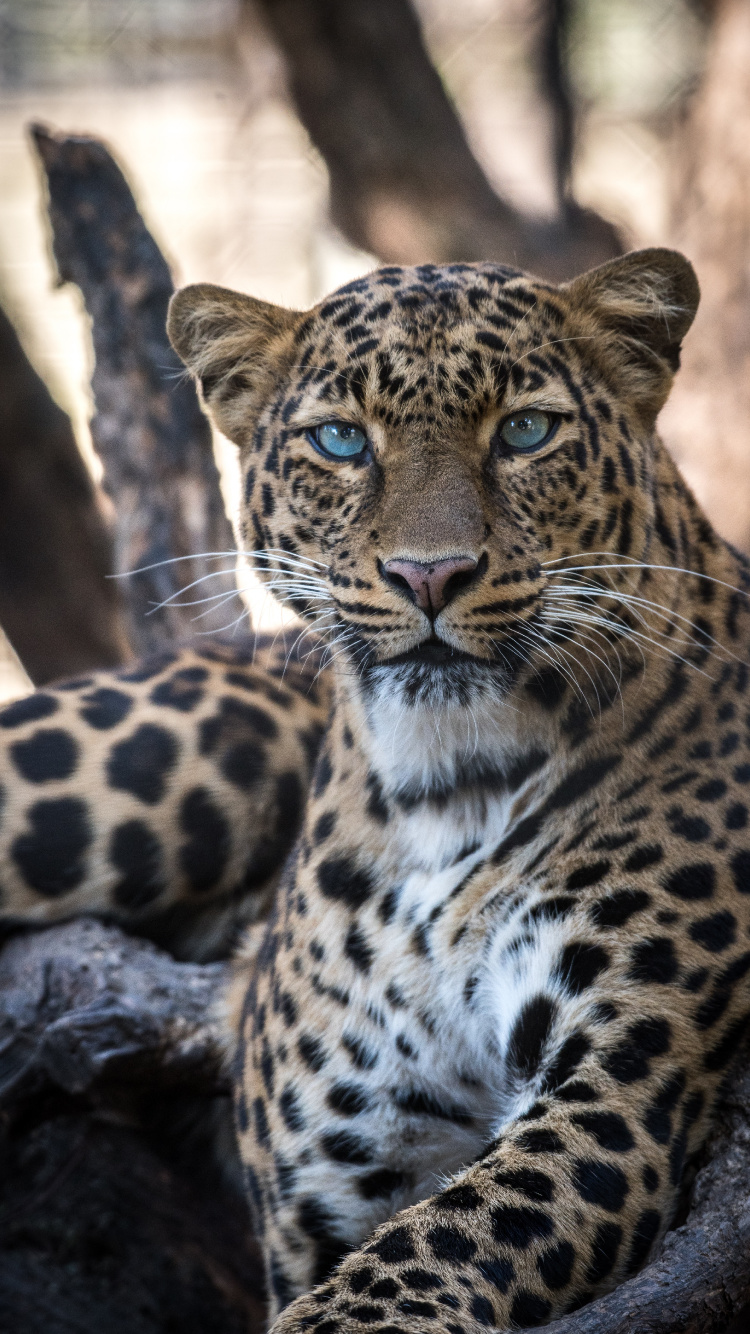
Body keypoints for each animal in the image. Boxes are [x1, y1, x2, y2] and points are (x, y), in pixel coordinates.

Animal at [3, 244, 750, 1332]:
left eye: (524, 430)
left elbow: (431, 1245)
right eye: (341, 440)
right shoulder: (336, 1171)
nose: (428, 575)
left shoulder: (621, 1086)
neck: (446, 788)